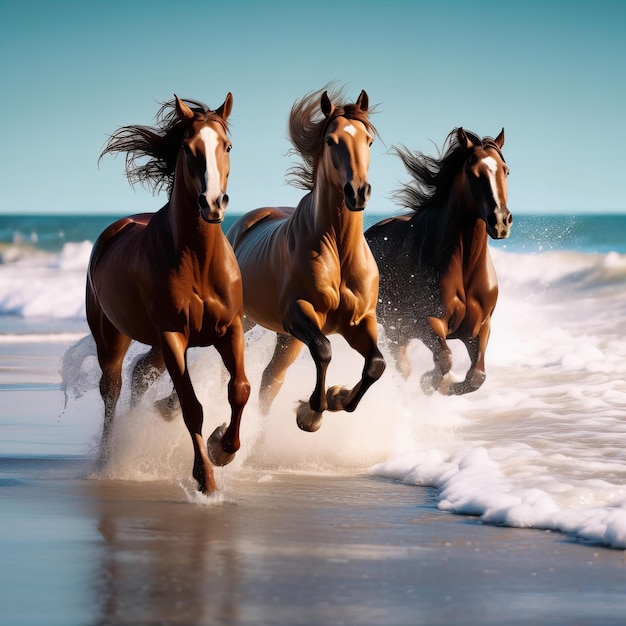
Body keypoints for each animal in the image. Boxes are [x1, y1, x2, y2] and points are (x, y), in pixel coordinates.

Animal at [88, 94, 249, 492]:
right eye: (189, 149)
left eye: (227, 146)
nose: (212, 203)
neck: (198, 261)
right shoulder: (174, 335)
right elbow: (192, 408)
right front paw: (206, 478)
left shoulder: (230, 330)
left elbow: (239, 388)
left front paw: (223, 448)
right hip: (113, 338)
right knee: (111, 388)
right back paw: (109, 455)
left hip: (157, 347)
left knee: (139, 375)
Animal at [228, 85, 386, 432]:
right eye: (331, 140)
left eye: (368, 140)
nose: (357, 192)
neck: (338, 251)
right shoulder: (298, 313)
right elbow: (324, 350)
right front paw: (311, 413)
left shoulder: (360, 321)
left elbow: (376, 365)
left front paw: (338, 397)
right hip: (249, 320)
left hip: (286, 339)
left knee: (271, 378)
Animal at [364, 127, 510, 394]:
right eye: (473, 173)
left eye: (505, 170)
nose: (500, 222)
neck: (464, 265)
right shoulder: (428, 323)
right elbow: (445, 359)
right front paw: (433, 383)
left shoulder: (480, 327)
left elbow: (477, 376)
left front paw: (442, 384)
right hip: (394, 328)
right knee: (404, 368)